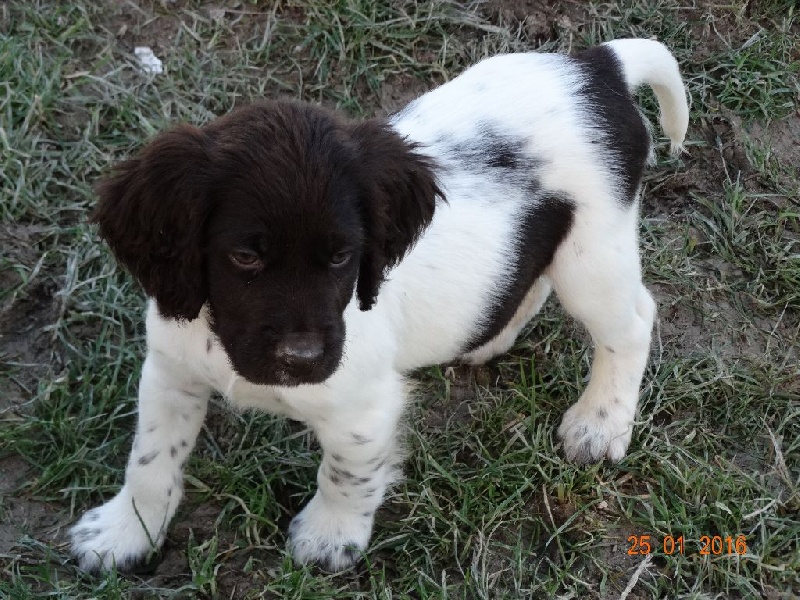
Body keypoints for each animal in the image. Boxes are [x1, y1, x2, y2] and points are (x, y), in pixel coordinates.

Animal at [70, 38, 688, 573]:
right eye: (244, 257)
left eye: (343, 256)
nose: (302, 358)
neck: (223, 341)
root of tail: (596, 67)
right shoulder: (170, 373)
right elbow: (150, 461)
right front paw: (124, 534)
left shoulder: (364, 408)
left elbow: (348, 474)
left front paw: (330, 538)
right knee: (528, 281)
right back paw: (489, 338)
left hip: (592, 255)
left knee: (632, 323)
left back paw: (600, 423)